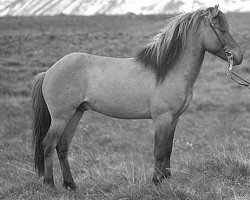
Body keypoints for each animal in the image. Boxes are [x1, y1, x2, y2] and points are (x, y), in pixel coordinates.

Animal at [30, 5, 242, 189]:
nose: (238, 57)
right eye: (221, 29)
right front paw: (156, 181)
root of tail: (48, 72)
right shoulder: (162, 118)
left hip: (75, 114)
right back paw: (50, 184)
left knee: (62, 146)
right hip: (61, 117)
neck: (167, 71)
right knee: (48, 145)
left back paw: (70, 184)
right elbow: (159, 151)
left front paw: (167, 177)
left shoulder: (174, 118)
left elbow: (168, 148)